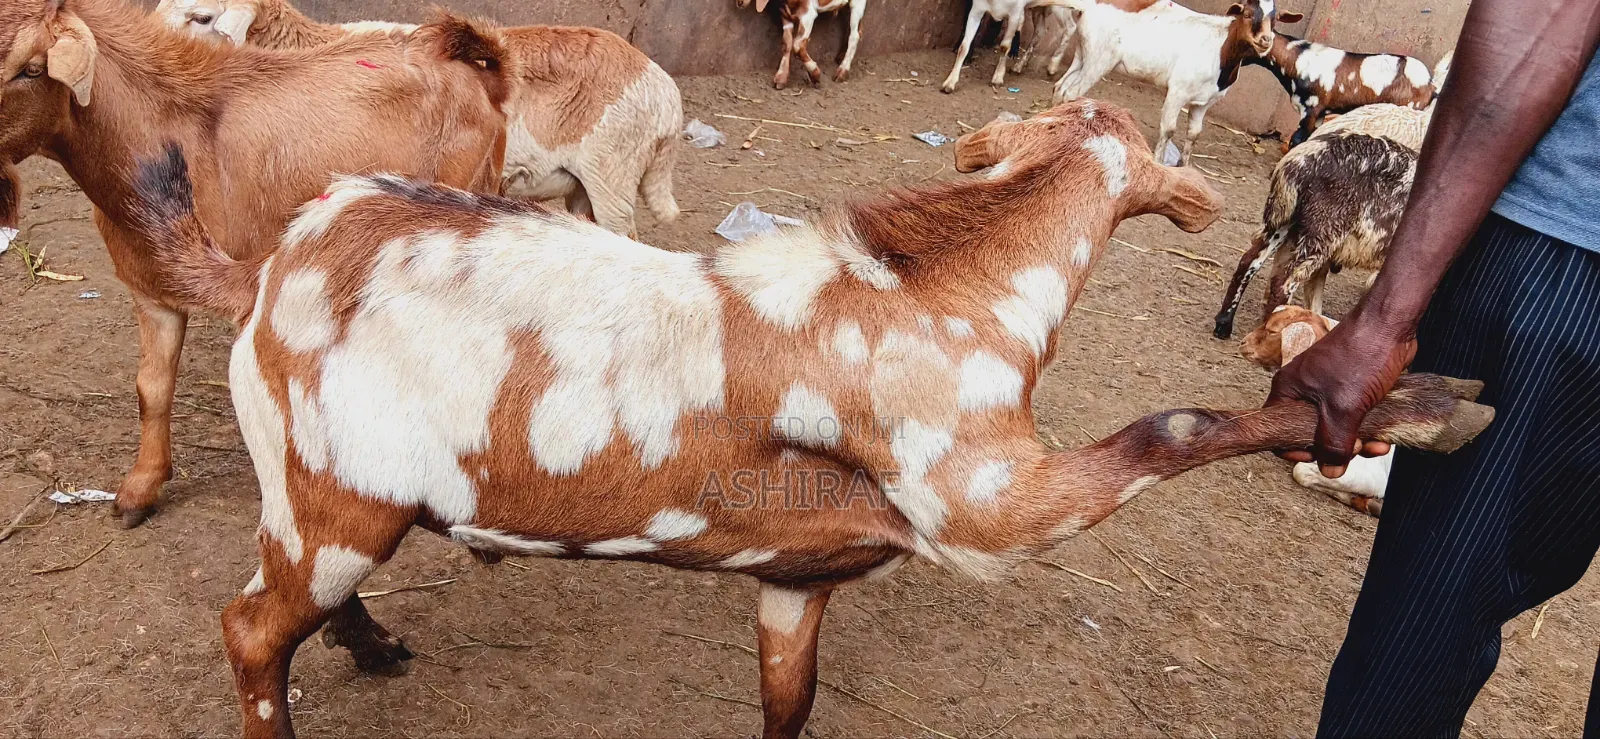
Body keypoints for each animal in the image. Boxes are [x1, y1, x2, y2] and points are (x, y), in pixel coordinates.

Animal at [0, 0, 507, 537]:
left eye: (31, 69)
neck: (160, 134)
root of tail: (476, 64)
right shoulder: (152, 289)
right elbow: (151, 388)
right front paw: (139, 491)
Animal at [737, 0, 867, 88]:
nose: (739, 3)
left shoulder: (808, 12)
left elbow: (797, 45)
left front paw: (815, 74)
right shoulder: (784, 13)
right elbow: (787, 43)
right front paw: (781, 78)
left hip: (858, 2)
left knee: (855, 35)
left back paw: (842, 72)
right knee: (855, 29)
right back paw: (840, 56)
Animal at [939, 0, 1075, 93]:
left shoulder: (1015, 14)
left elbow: (1004, 46)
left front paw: (997, 78)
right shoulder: (976, 10)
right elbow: (964, 47)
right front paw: (949, 83)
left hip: (1060, 7)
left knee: (1070, 27)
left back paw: (1053, 66)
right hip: (1039, 7)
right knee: (1039, 32)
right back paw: (1019, 66)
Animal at [1049, 0, 1301, 165]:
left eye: (1275, 20)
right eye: (1247, 14)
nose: (1265, 40)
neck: (1221, 48)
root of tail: (1090, 6)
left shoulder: (1205, 102)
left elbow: (1194, 133)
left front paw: (1185, 165)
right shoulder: (1178, 91)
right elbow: (1169, 129)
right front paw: (1159, 162)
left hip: (1084, 55)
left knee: (1061, 87)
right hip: (1099, 60)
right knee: (1072, 92)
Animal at [1212, 132, 1415, 339]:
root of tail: (1297, 163)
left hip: (1286, 221)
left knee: (1249, 261)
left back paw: (1224, 324)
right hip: (1322, 231)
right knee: (1283, 283)